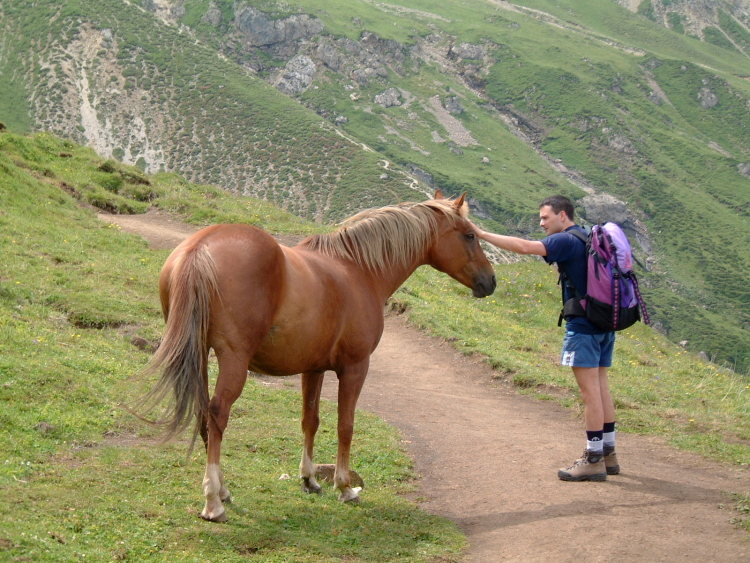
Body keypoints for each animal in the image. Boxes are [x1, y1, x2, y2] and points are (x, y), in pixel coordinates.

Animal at [140, 192, 500, 524]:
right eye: (470, 235)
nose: (491, 281)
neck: (358, 269)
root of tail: (199, 248)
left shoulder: (312, 369)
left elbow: (309, 421)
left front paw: (309, 480)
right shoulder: (355, 368)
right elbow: (345, 425)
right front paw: (345, 487)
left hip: (200, 354)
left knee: (204, 412)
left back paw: (224, 490)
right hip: (233, 360)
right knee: (217, 414)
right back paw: (214, 502)